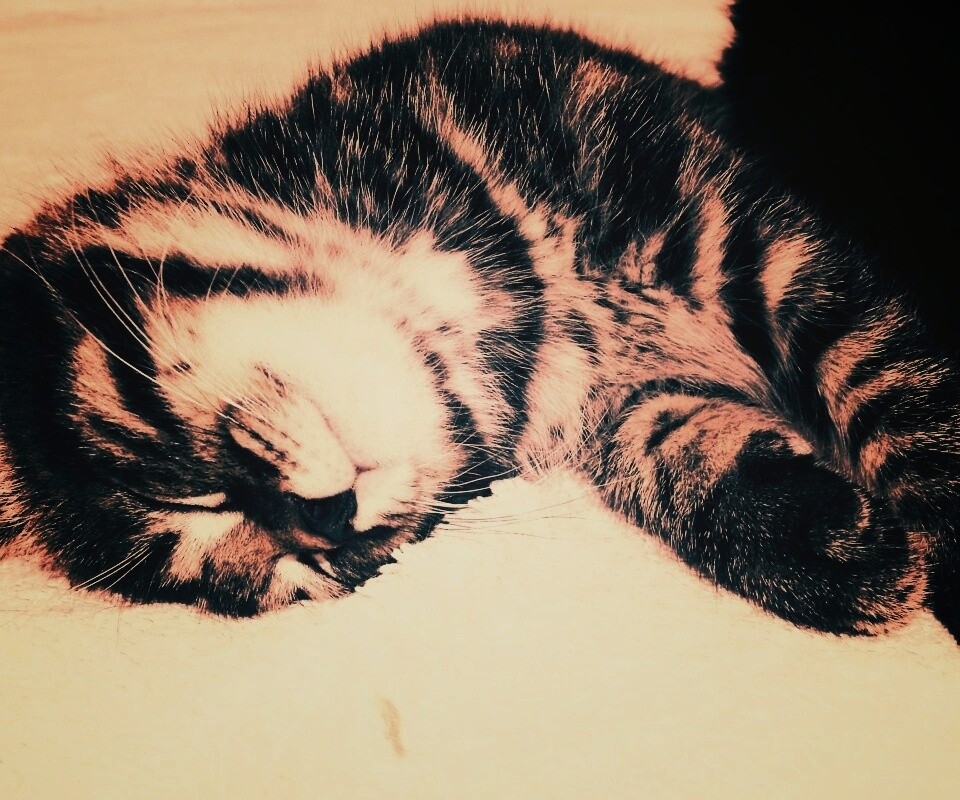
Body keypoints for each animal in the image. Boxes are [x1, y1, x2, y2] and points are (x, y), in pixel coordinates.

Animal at [0, 19, 956, 636]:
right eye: (291, 576)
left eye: (185, 485)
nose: (330, 530)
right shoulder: (629, 405)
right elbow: (693, 471)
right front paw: (835, 549)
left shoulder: (753, 239)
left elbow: (897, 388)